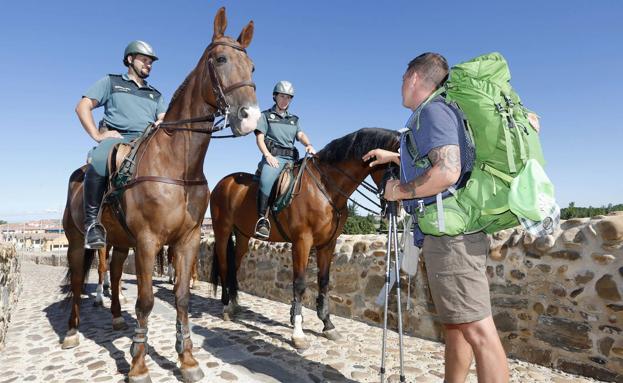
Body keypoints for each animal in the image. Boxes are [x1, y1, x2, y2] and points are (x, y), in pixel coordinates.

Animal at [60, 7, 258, 382]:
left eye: (252, 67)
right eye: (221, 59)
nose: (251, 117)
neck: (177, 167)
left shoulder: (187, 240)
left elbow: (181, 298)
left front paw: (188, 359)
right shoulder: (149, 241)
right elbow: (147, 301)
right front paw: (138, 365)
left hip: (121, 243)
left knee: (116, 274)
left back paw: (116, 318)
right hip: (79, 241)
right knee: (79, 280)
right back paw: (72, 331)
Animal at [207, 128, 398, 352]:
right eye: (396, 164)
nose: (397, 207)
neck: (325, 187)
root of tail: (224, 182)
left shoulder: (327, 244)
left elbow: (323, 281)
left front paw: (328, 325)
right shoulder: (302, 241)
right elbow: (299, 283)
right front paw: (298, 332)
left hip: (244, 236)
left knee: (234, 266)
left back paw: (233, 304)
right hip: (222, 230)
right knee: (223, 264)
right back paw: (226, 305)